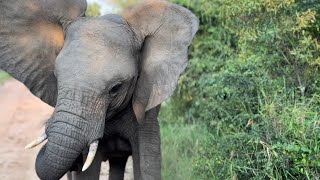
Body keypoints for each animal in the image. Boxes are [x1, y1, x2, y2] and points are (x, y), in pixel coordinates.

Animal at [0, 0, 199, 179]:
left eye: (116, 88)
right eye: (55, 77)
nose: (75, 163)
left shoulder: (147, 108)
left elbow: (147, 164)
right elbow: (87, 173)